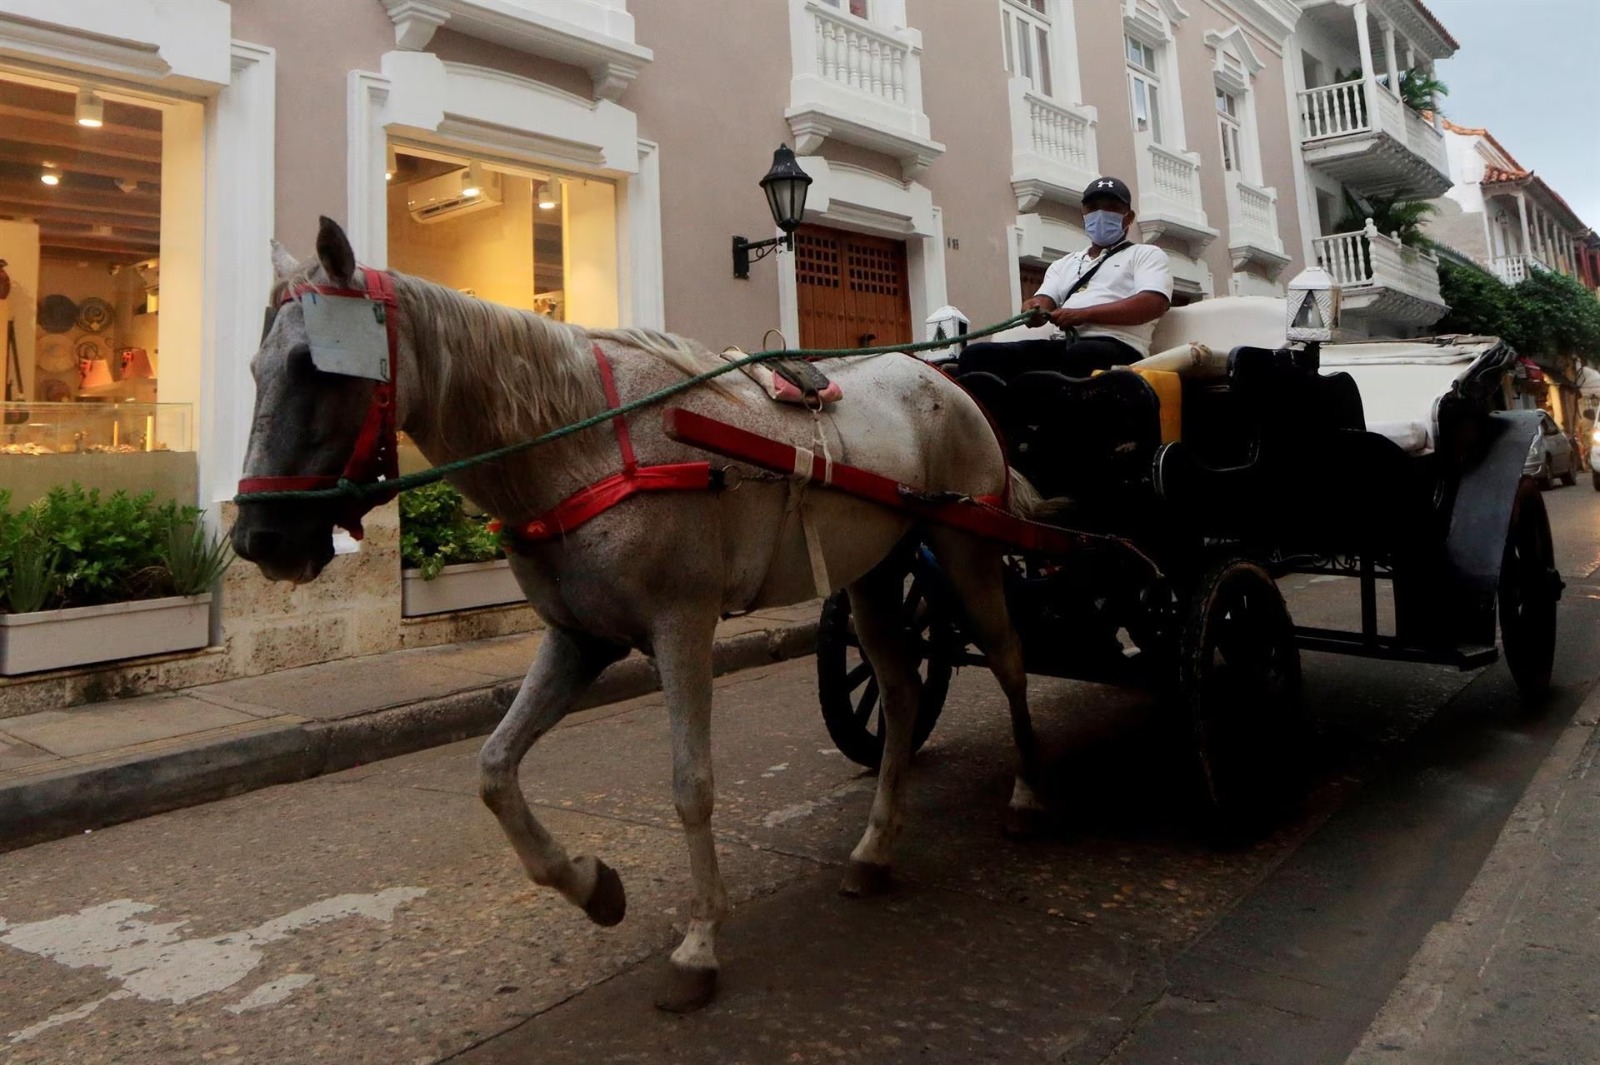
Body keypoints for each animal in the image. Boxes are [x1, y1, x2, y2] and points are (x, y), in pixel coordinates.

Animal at [232, 215, 1043, 1004]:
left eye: (315, 368)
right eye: (255, 370)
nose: (258, 537)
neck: (587, 444)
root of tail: (940, 377)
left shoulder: (681, 628)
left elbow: (691, 785)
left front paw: (700, 940)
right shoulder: (579, 638)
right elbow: (494, 769)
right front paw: (590, 885)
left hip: (967, 551)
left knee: (1010, 661)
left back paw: (1027, 792)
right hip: (873, 575)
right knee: (901, 691)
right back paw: (875, 847)